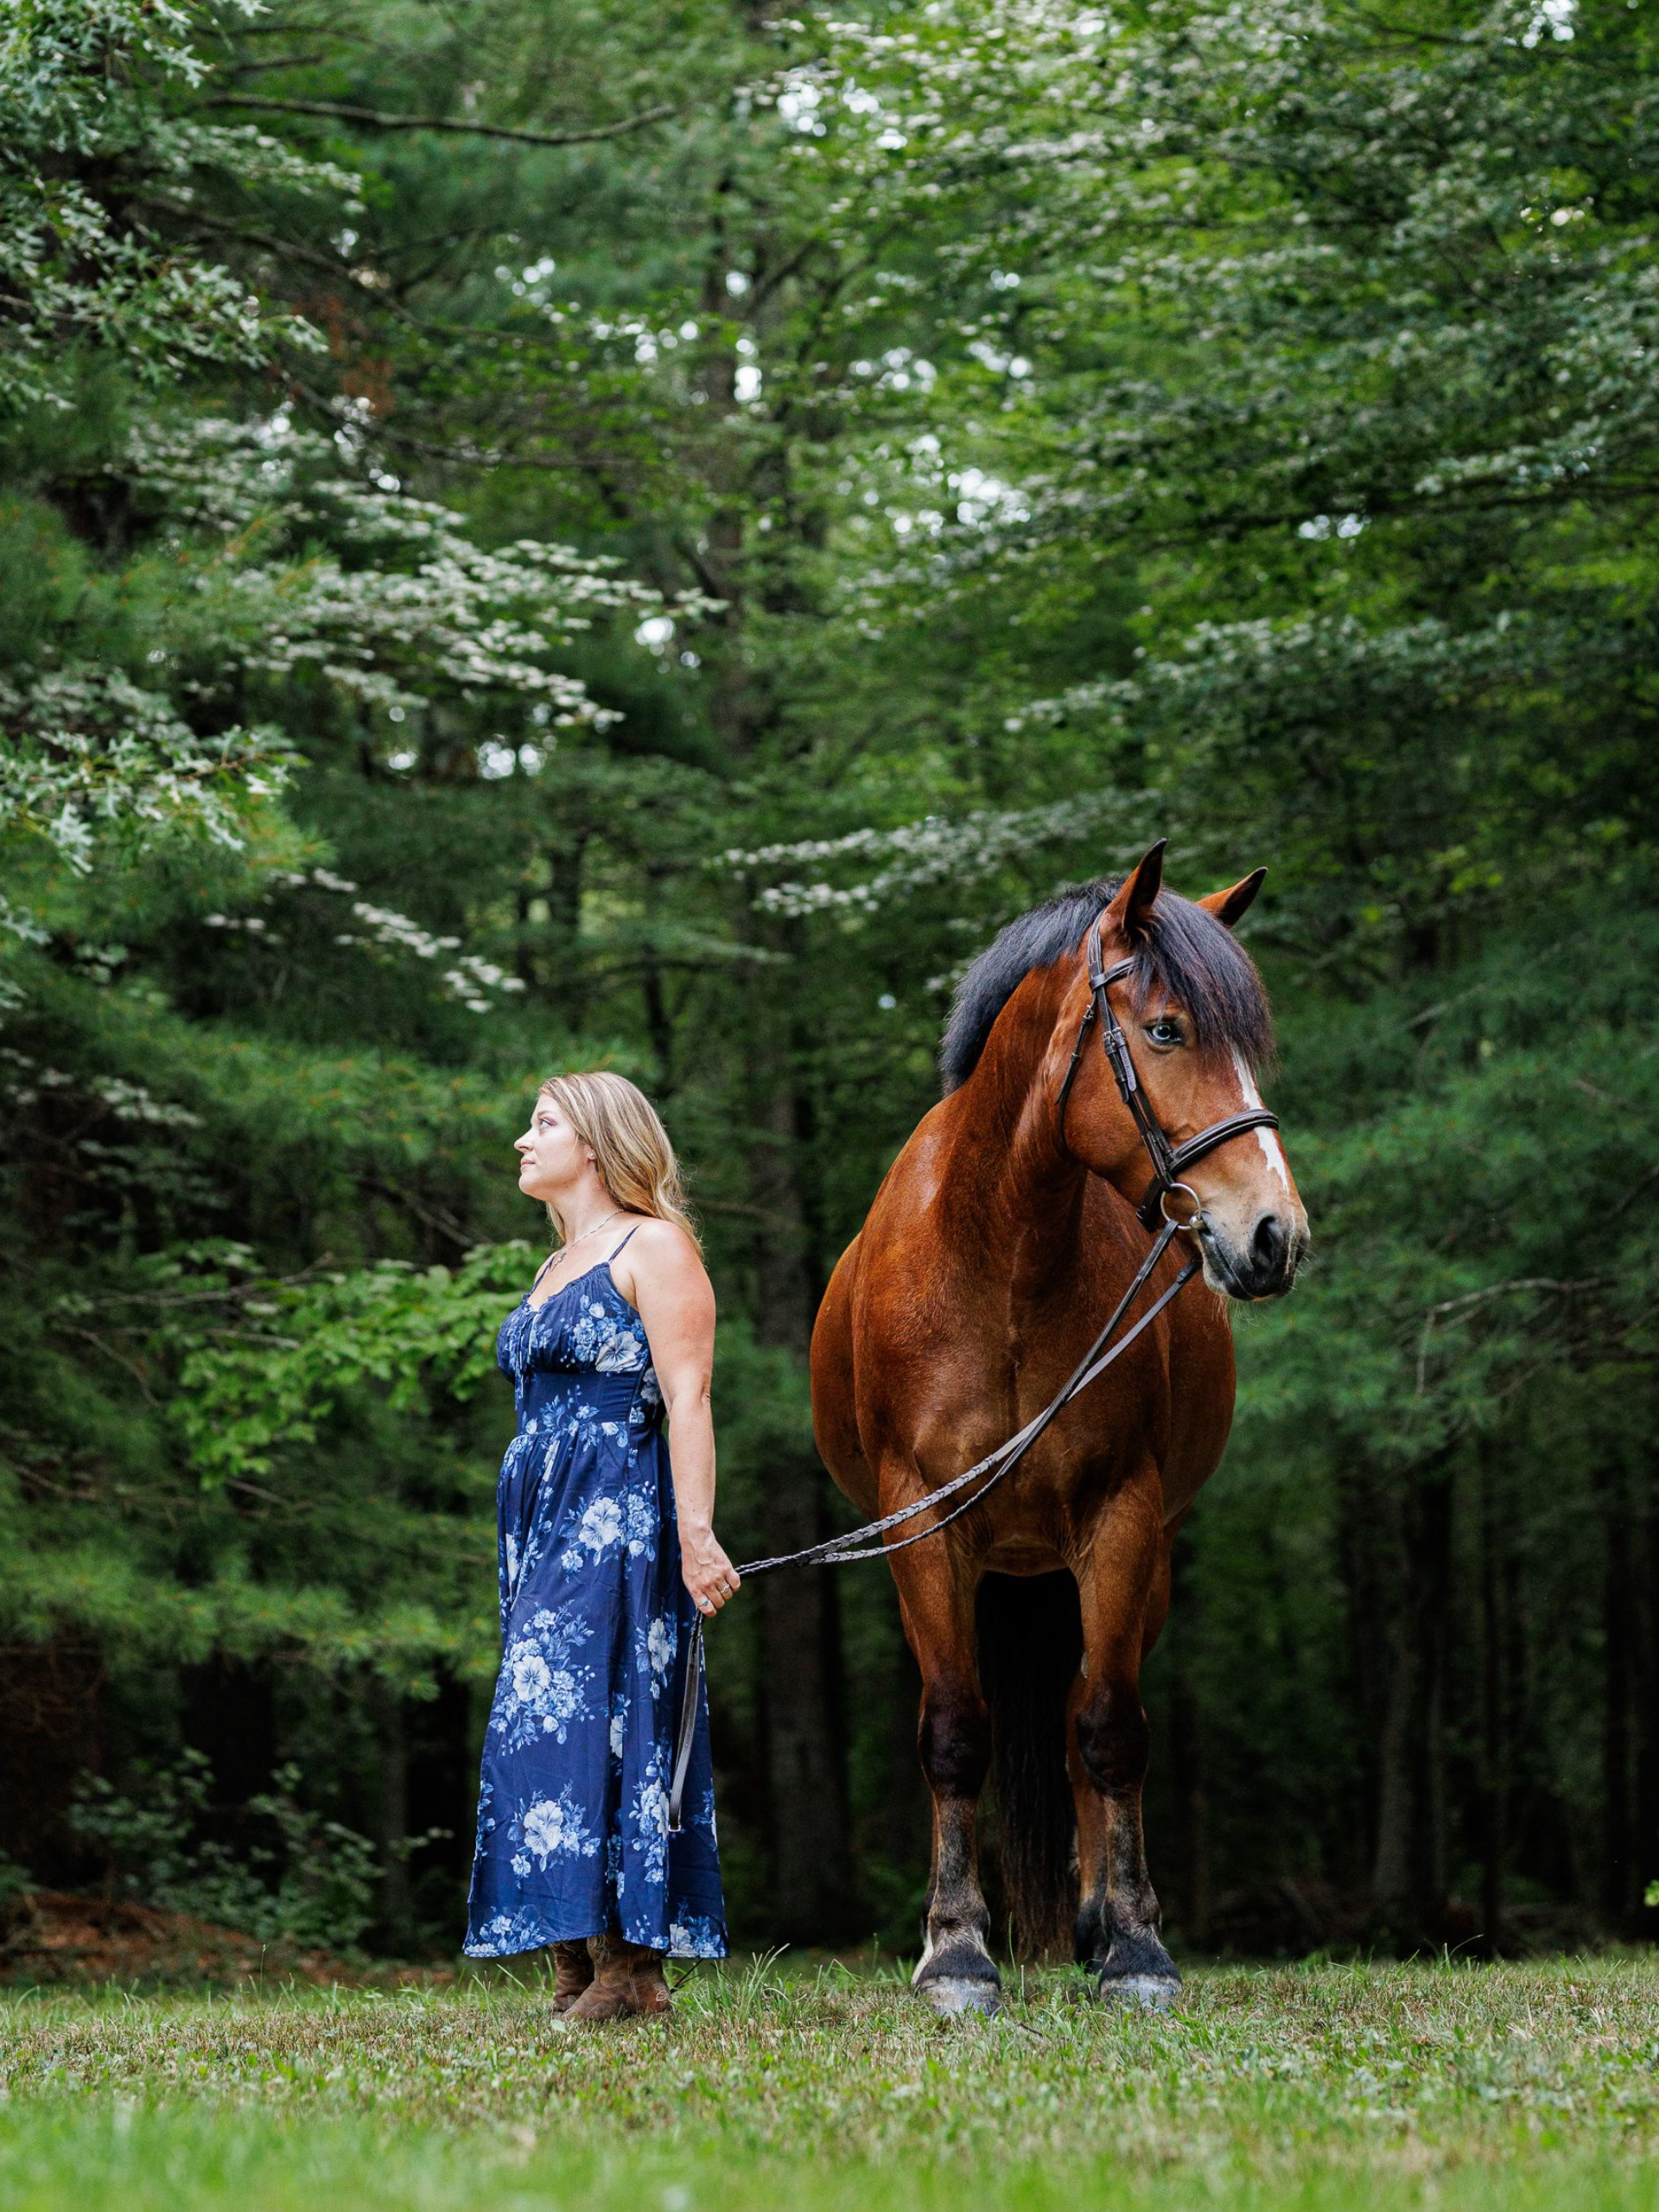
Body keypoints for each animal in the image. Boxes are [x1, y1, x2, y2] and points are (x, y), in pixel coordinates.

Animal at [809, 842, 1308, 2015]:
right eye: (1168, 1030)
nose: (1277, 1234)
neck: (1000, 1255)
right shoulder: (924, 1527)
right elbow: (955, 1733)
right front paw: (954, 1950)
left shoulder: (1121, 1518)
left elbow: (1109, 1732)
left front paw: (1134, 1946)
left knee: (1088, 1720)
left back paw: (1094, 1923)